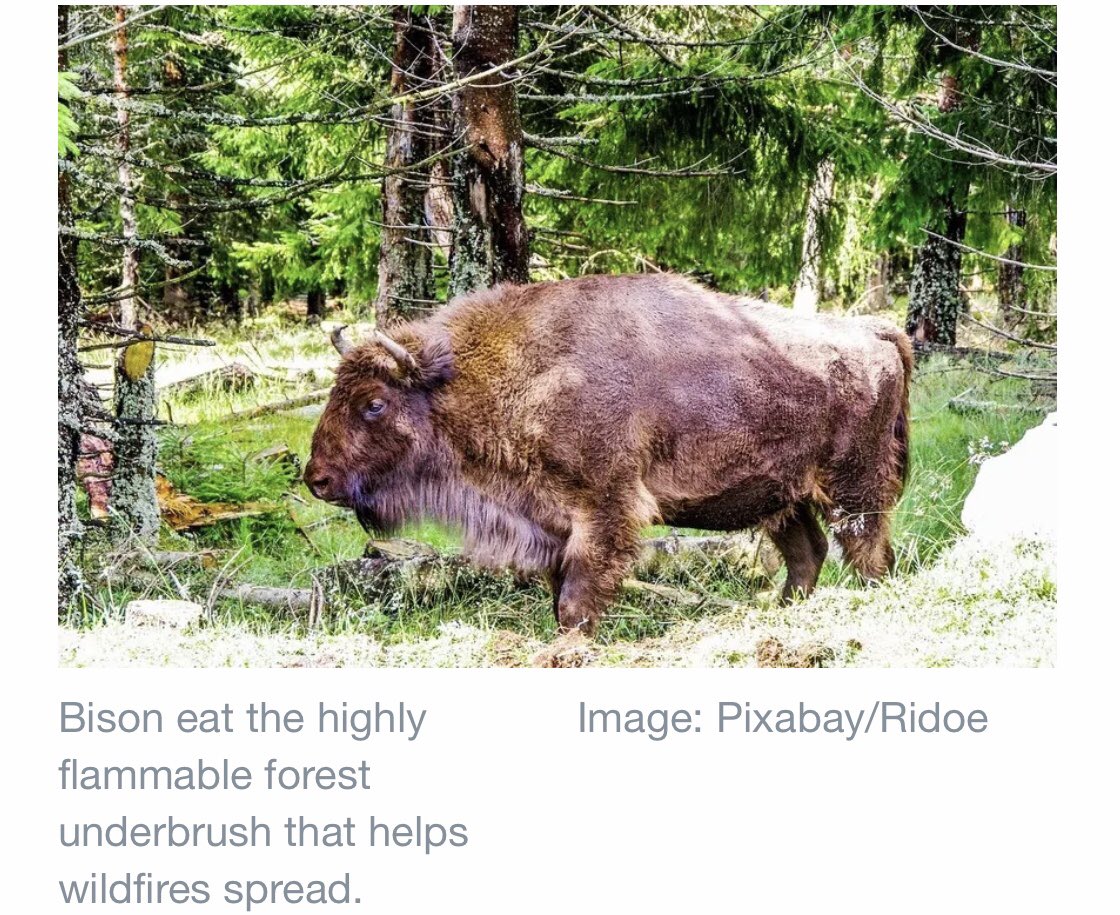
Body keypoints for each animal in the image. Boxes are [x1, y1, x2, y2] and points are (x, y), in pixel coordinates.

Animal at [305, 273, 912, 642]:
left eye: (374, 403)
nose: (317, 479)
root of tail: (872, 331)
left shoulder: (603, 508)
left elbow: (578, 594)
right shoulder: (552, 522)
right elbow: (559, 590)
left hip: (853, 489)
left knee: (870, 555)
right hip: (783, 498)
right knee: (809, 554)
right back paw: (781, 614)